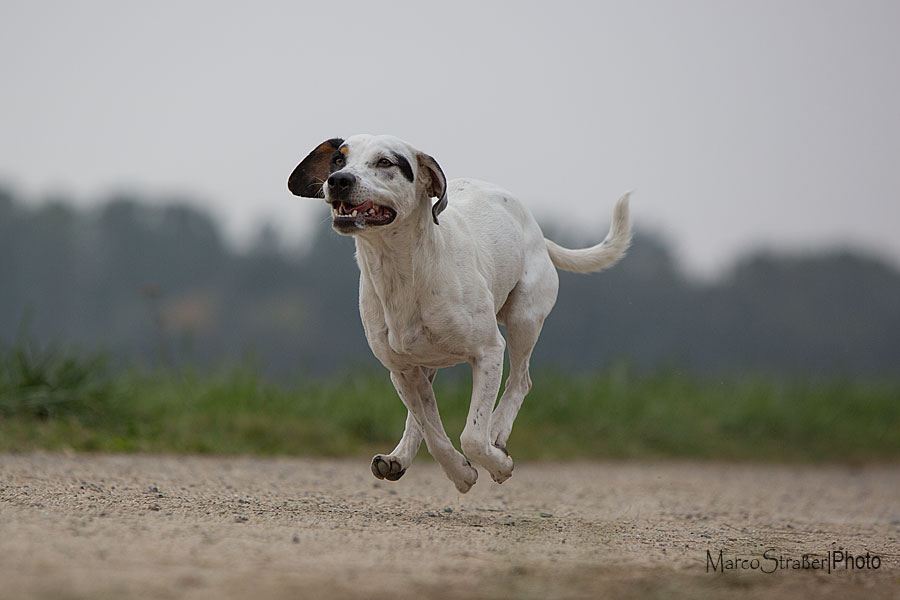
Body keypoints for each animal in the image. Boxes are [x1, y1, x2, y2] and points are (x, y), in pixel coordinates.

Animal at [290, 136, 632, 492]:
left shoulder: (489, 352)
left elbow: (473, 437)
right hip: (422, 367)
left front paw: (497, 463)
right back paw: (399, 457)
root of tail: (538, 232)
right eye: (337, 160)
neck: (404, 273)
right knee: (422, 416)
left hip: (524, 319)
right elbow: (433, 434)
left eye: (385, 162)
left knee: (520, 381)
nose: (338, 181)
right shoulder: (401, 370)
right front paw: (461, 473)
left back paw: (497, 432)